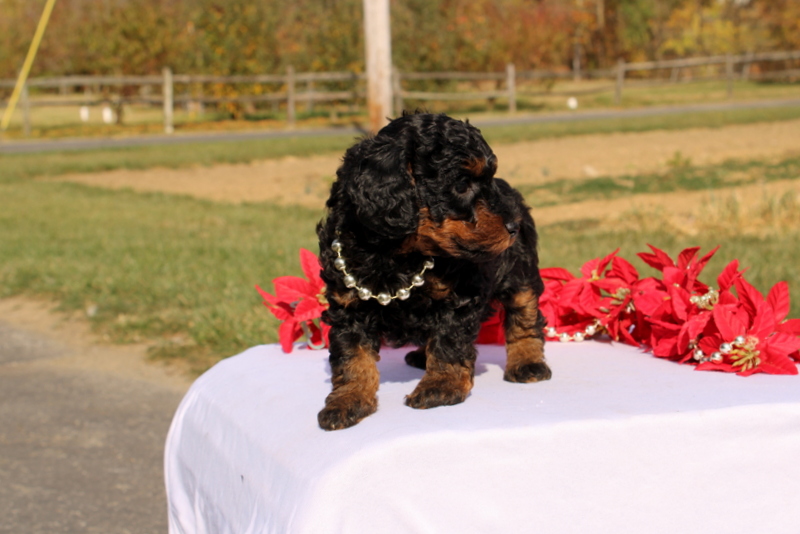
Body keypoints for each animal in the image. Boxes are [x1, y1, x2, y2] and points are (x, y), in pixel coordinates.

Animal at [318, 113, 552, 432]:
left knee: (525, 314)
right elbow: (352, 356)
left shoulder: (459, 297)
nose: (513, 226)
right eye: (462, 185)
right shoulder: (348, 307)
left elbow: (448, 341)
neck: (396, 257)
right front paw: (347, 400)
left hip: (520, 272)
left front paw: (440, 386)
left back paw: (527, 362)